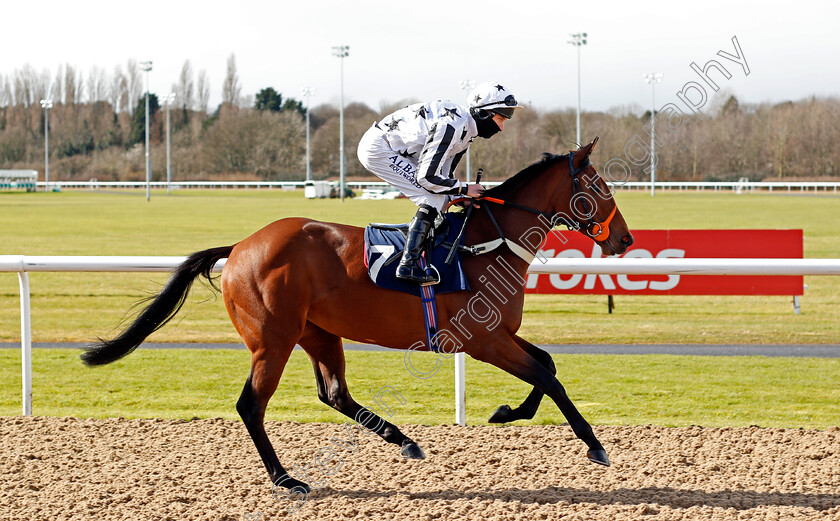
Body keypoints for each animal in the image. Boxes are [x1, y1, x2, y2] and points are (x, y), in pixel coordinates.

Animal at [82, 137, 632, 492]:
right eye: (600, 186)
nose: (625, 239)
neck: (485, 245)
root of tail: (239, 247)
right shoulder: (483, 341)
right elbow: (548, 376)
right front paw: (594, 445)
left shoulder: (498, 335)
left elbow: (548, 367)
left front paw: (505, 413)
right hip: (273, 339)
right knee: (251, 405)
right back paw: (287, 478)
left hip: (319, 333)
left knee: (334, 393)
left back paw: (404, 440)